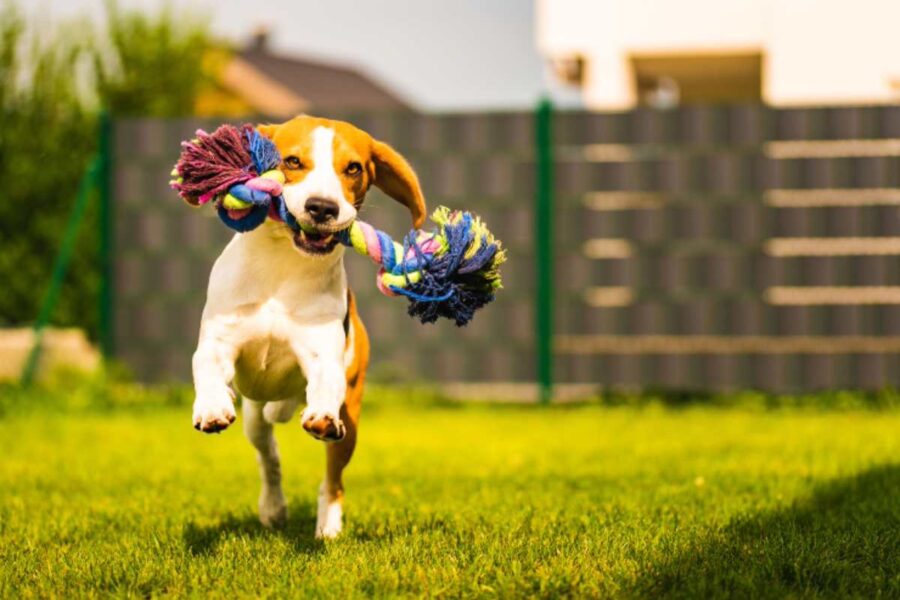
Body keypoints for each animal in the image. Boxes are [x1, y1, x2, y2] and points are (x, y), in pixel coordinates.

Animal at [192, 115, 424, 536]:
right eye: (293, 161)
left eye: (353, 168)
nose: (322, 207)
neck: (285, 264)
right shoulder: (220, 338)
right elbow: (207, 366)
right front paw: (213, 406)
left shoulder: (323, 355)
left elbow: (325, 381)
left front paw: (321, 417)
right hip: (254, 416)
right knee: (269, 456)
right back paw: (272, 507)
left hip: (350, 419)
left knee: (333, 480)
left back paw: (328, 527)